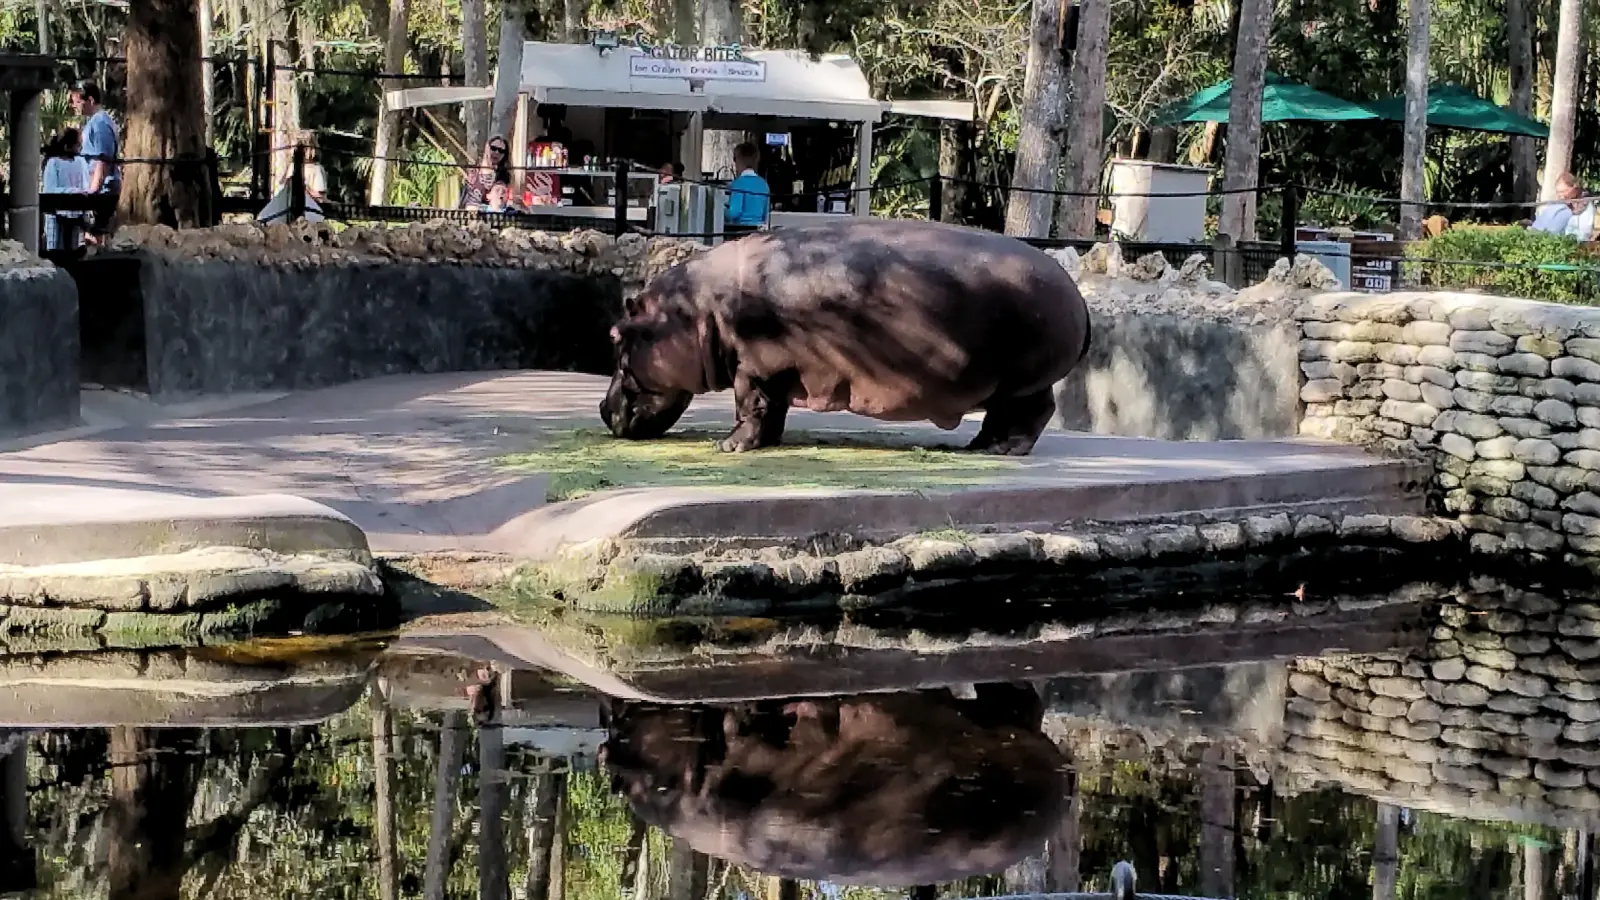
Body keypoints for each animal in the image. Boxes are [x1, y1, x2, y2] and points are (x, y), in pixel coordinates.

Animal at [600, 217, 1092, 455]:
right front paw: (767, 443)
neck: (693, 310)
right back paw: (980, 445)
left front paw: (728, 447)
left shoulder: (753, 368)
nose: (603, 409)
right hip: (1011, 384)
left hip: (1022, 382)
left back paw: (1002, 450)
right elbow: (772, 411)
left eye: (615, 333)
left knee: (1031, 414)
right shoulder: (778, 371)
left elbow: (749, 407)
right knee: (1012, 415)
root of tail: (1078, 295)